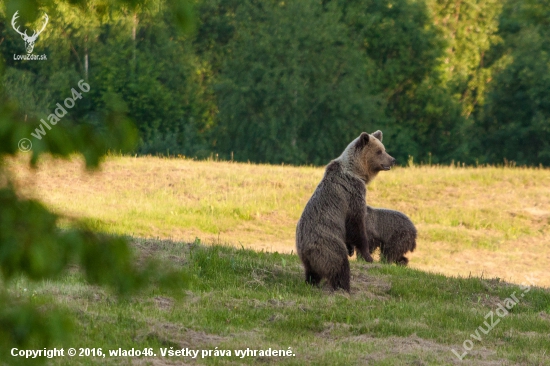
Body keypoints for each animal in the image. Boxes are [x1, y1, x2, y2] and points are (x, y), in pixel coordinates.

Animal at [298, 132, 396, 292]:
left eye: (384, 149)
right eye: (379, 151)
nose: (392, 160)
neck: (356, 171)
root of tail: (305, 250)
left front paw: (351, 249)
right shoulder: (353, 194)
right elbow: (356, 225)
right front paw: (368, 256)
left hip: (310, 259)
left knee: (312, 273)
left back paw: (312, 282)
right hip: (328, 245)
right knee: (340, 266)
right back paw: (344, 287)